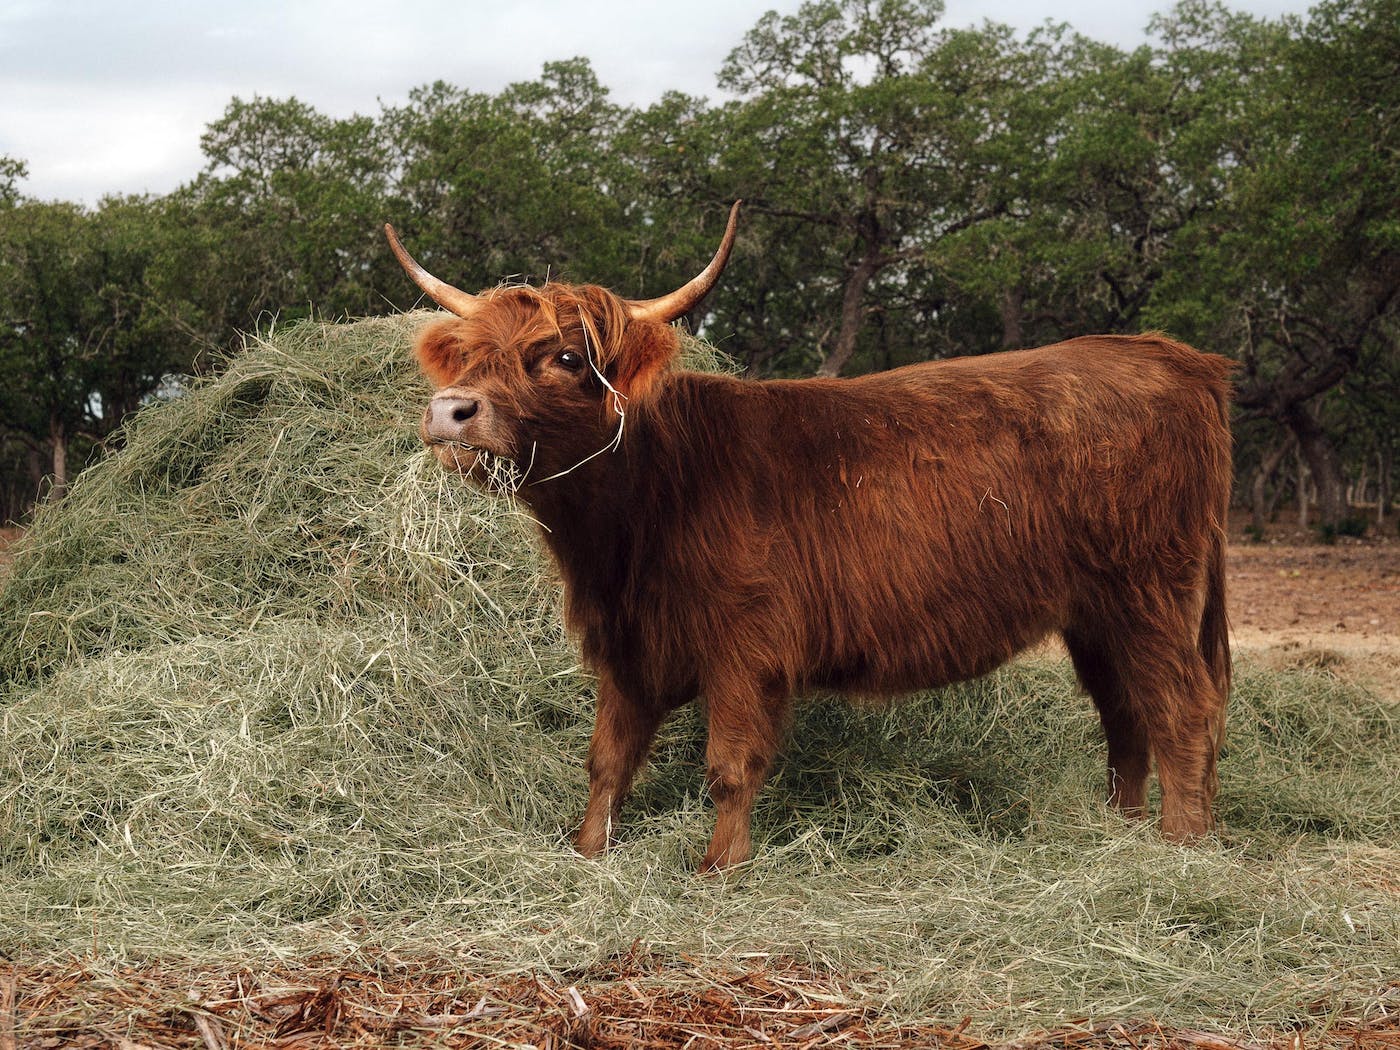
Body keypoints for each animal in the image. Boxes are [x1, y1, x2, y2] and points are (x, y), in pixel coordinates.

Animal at [385, 202, 1233, 872]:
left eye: (564, 357)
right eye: (467, 355)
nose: (451, 410)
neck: (641, 512)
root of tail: (1169, 355)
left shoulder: (746, 645)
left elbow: (730, 763)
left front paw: (720, 865)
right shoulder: (629, 643)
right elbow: (607, 760)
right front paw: (589, 850)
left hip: (1150, 593)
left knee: (1182, 708)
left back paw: (1179, 847)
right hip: (1095, 613)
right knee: (1126, 713)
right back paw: (1120, 829)